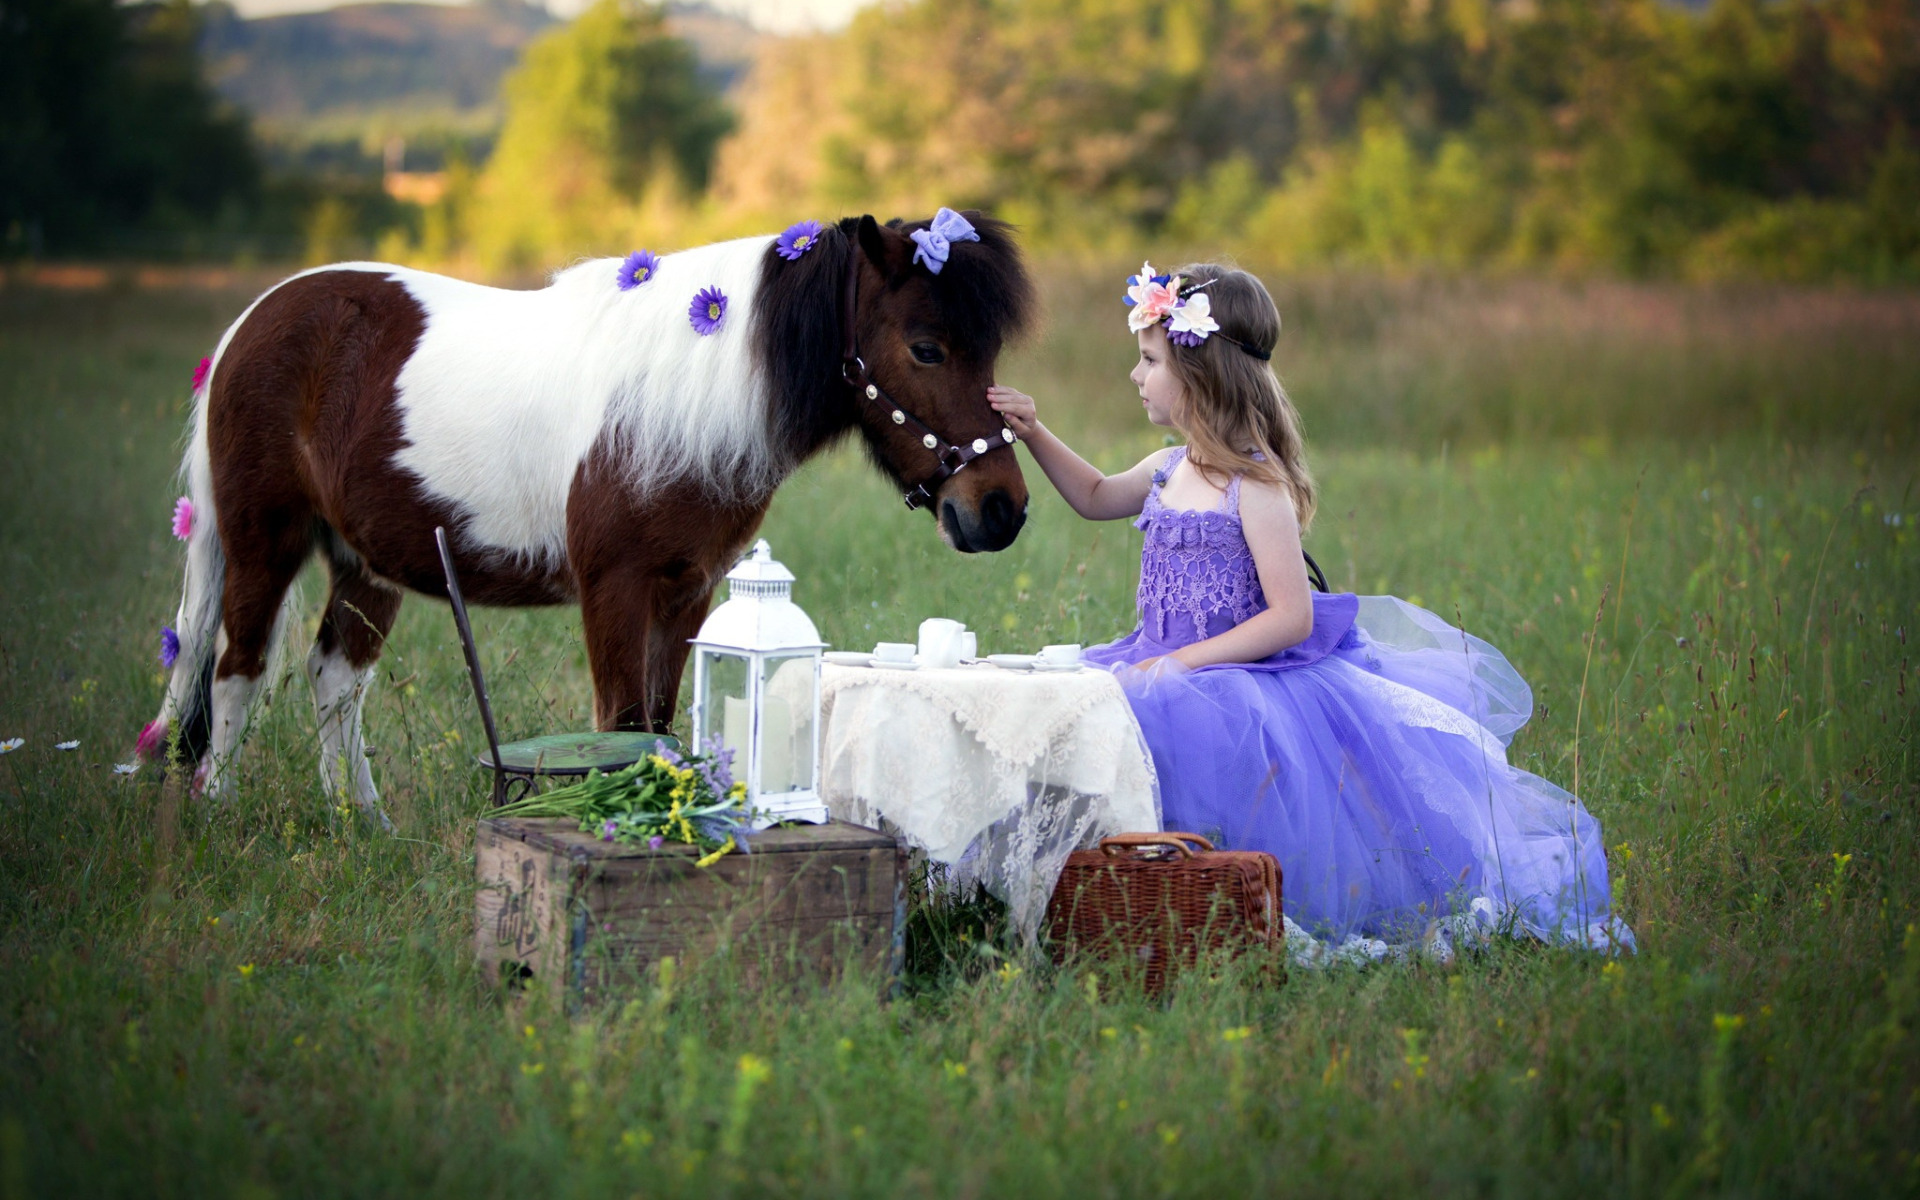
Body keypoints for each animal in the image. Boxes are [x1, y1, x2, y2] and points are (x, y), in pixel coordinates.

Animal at [139, 213, 1036, 821]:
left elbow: (660, 726)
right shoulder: (615, 588)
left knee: (335, 680)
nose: (1000, 510)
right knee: (237, 672)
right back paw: (218, 814)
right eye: (925, 348)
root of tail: (253, 322)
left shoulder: (686, 591)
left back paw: (361, 823)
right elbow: (623, 725)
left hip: (367, 563)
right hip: (262, 541)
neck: (677, 401)